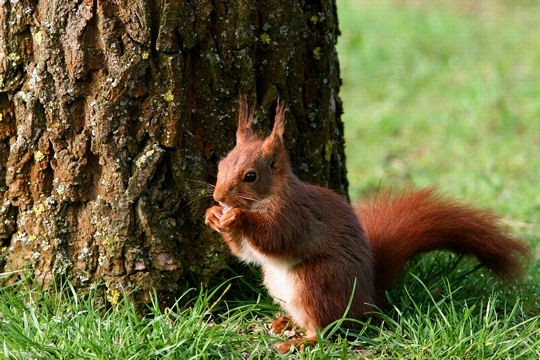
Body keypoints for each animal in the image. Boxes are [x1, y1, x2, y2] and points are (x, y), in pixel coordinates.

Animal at [205, 98, 528, 352]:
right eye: (221, 165)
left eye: (250, 176)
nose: (219, 196)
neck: (270, 195)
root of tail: (368, 299)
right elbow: (246, 254)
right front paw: (213, 215)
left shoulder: (294, 216)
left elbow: (275, 239)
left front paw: (237, 218)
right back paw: (284, 321)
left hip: (315, 281)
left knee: (325, 327)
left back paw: (301, 340)